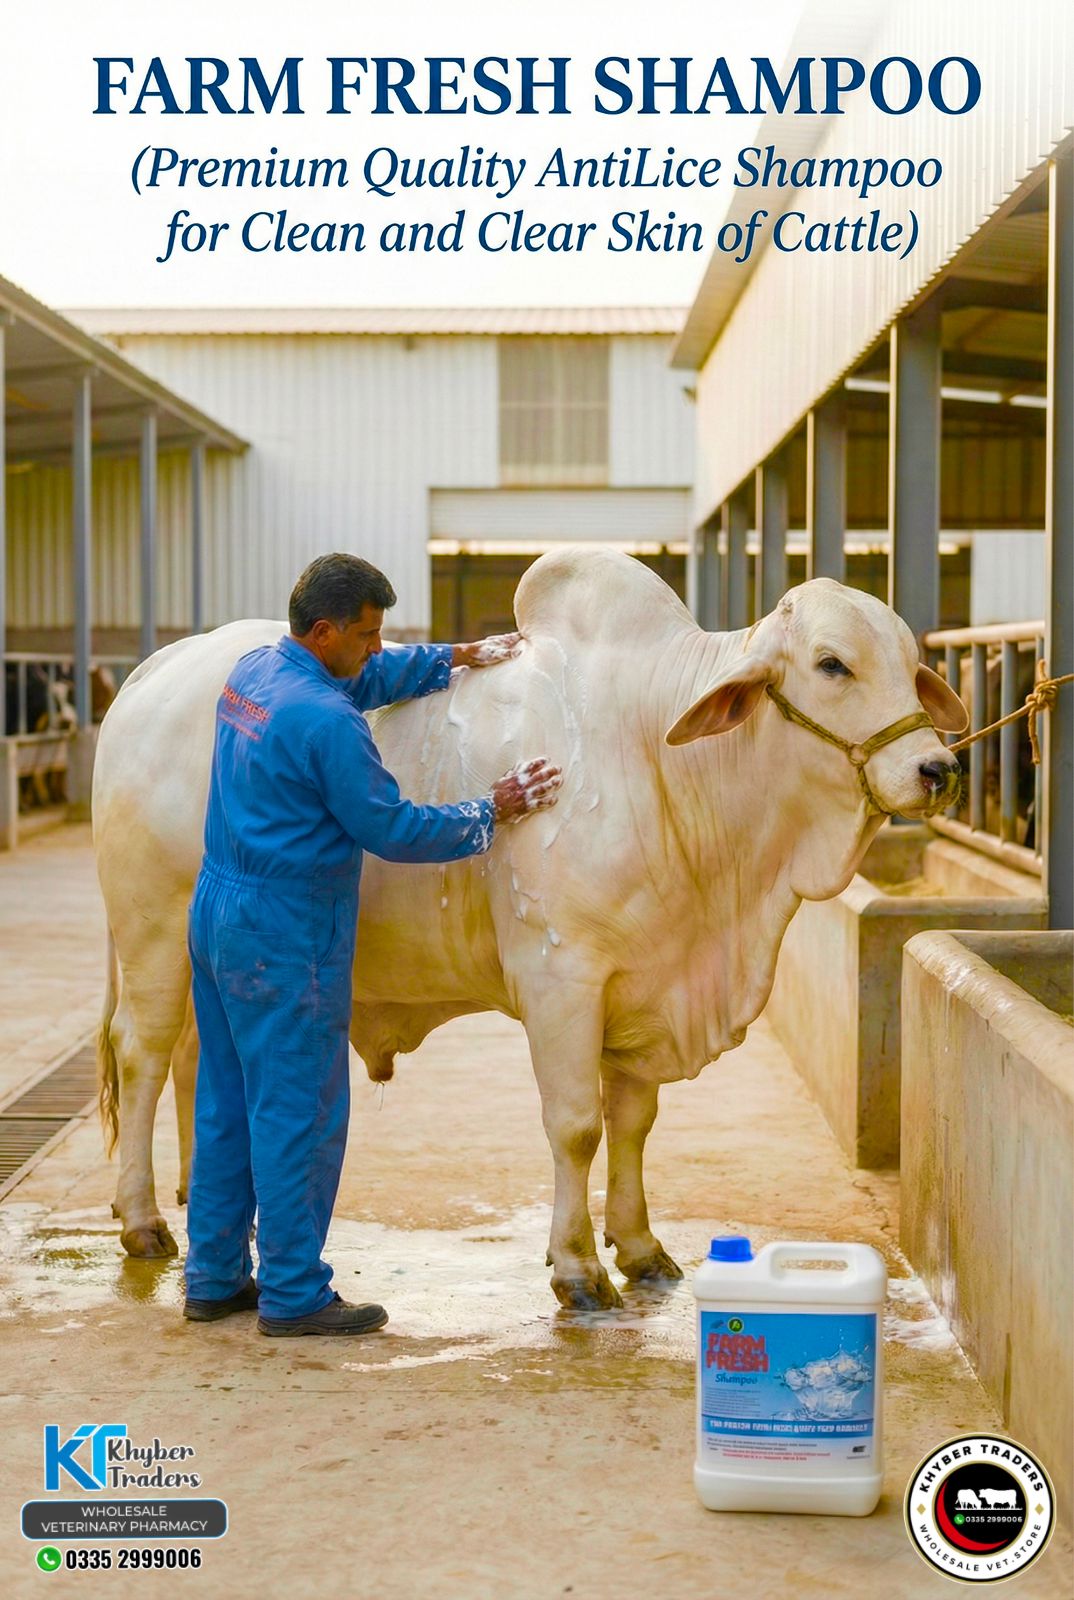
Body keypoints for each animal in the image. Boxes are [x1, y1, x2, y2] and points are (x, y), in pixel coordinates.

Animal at [93, 548, 966, 1308]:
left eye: (910, 661)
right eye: (832, 664)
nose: (938, 769)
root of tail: (152, 672)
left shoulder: (645, 979)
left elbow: (633, 1122)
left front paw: (639, 1245)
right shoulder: (562, 979)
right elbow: (576, 1126)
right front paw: (576, 1266)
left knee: (198, 1061)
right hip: (153, 939)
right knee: (144, 1054)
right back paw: (143, 1220)